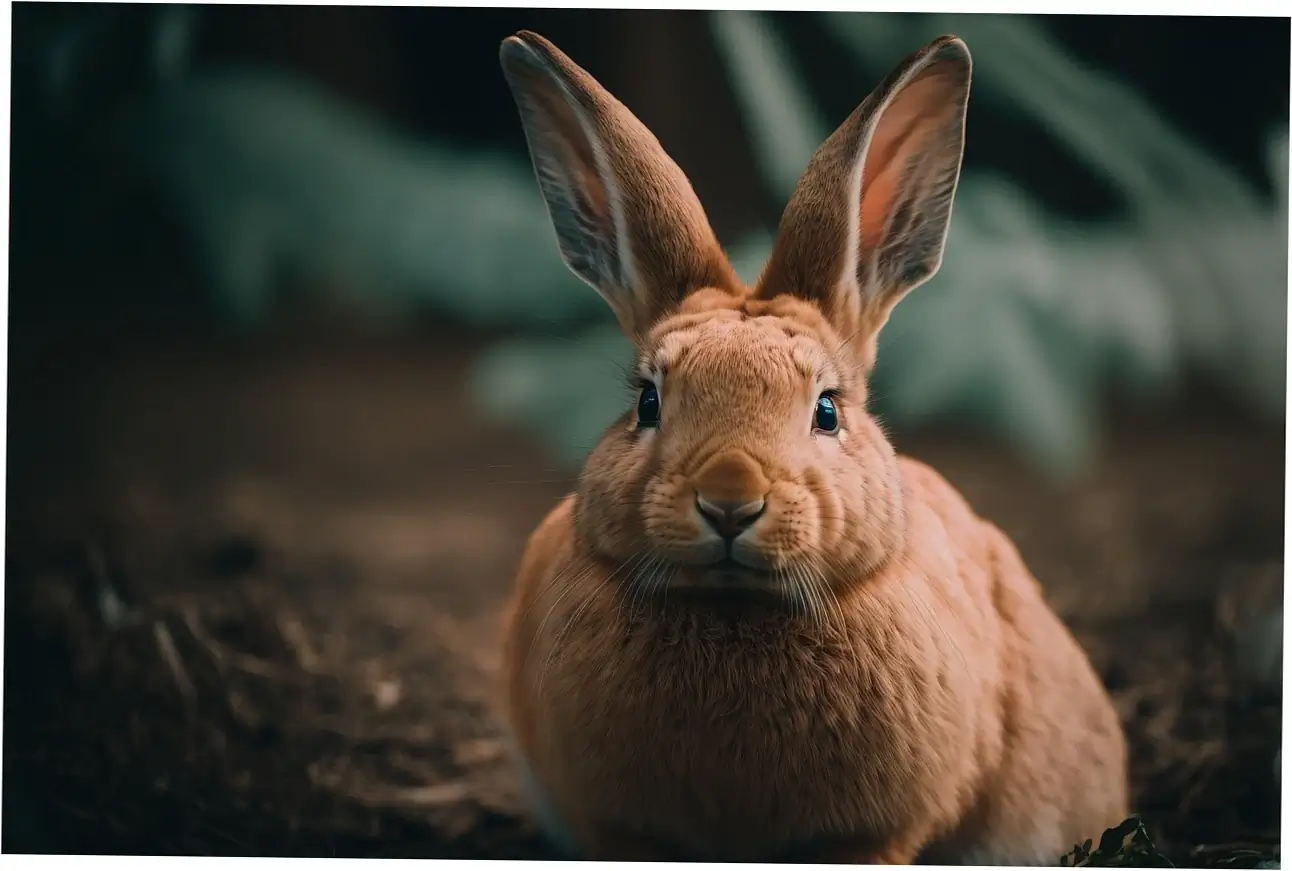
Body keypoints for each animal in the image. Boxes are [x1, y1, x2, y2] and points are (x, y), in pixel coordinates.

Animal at [497, 29, 1128, 865]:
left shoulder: (873, 833)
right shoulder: (618, 827)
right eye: (647, 402)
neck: (737, 608)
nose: (730, 501)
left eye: (826, 411)